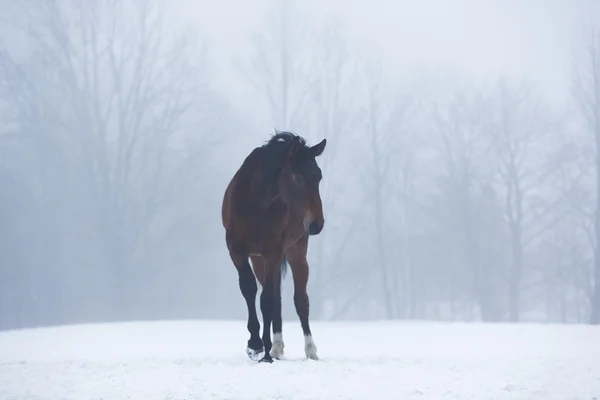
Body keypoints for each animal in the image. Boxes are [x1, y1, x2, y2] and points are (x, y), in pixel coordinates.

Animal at [220, 131, 326, 362]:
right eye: (298, 177)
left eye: (319, 176)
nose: (317, 224)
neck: (256, 203)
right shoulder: (237, 251)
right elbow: (251, 290)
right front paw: (255, 344)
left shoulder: (273, 252)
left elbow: (267, 299)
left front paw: (263, 348)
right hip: (259, 259)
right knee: (275, 297)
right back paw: (276, 347)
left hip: (296, 253)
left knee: (300, 300)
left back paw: (309, 349)